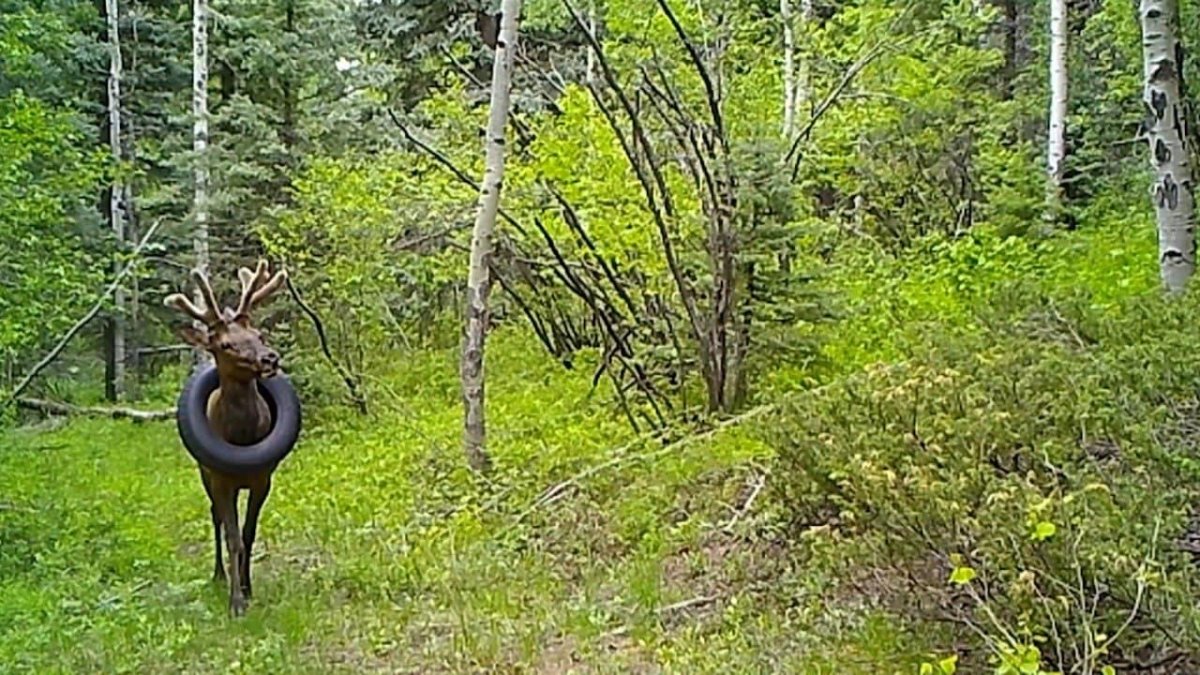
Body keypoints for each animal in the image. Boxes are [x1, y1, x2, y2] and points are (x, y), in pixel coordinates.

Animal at [164, 260, 288, 616]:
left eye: (258, 334)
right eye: (225, 345)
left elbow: (248, 534)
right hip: (204, 473)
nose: (269, 358)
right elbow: (232, 537)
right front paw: (236, 602)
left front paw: (248, 588)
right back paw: (218, 574)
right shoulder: (221, 479)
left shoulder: (263, 478)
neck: (243, 438)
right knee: (214, 515)